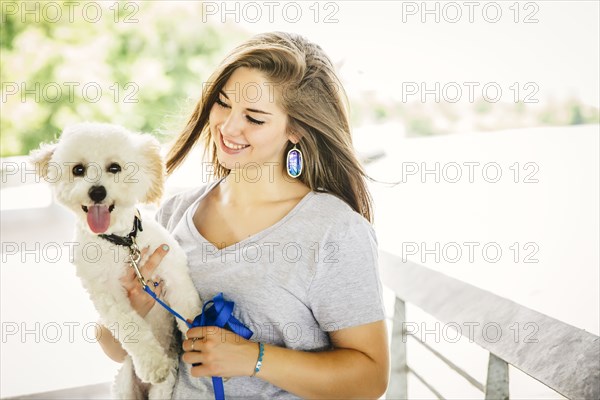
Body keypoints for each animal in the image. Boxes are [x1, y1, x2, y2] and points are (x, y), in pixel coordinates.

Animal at [29, 122, 202, 400]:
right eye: (78, 170)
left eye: (114, 167)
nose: (97, 191)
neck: (121, 243)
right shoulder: (108, 296)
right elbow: (131, 329)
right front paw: (154, 365)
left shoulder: (173, 270)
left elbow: (189, 310)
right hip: (125, 387)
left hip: (163, 391)